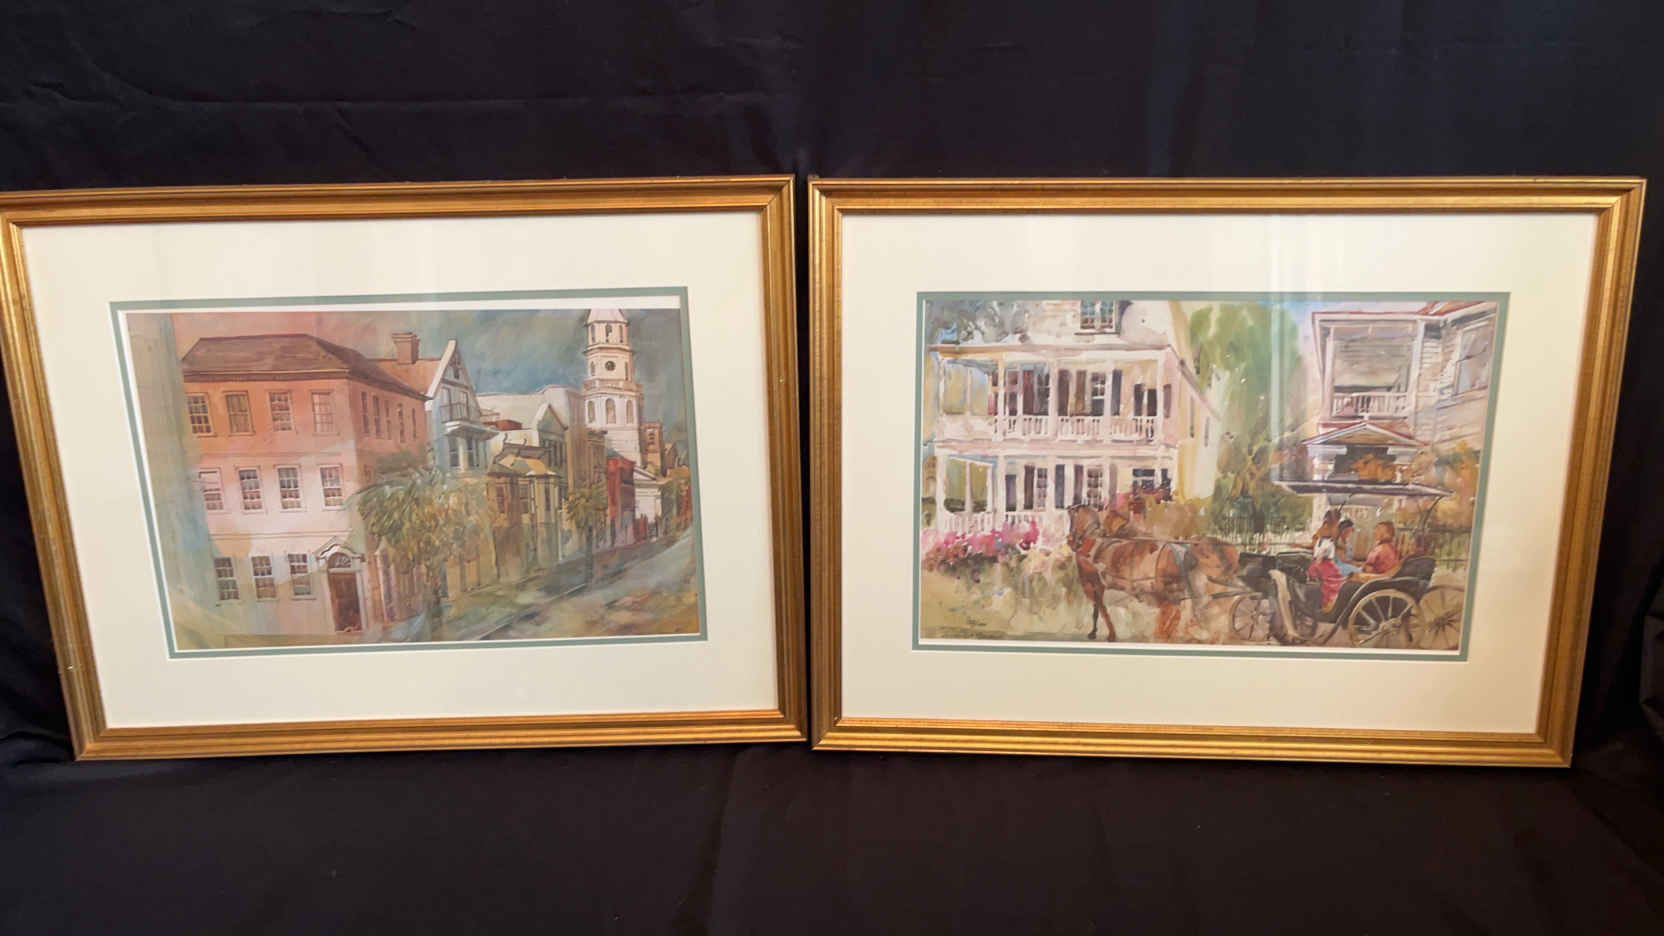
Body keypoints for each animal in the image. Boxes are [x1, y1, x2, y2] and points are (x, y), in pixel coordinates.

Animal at [1066, 503, 1240, 642]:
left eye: (1071, 519)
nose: (1070, 540)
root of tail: (1185, 551)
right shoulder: (1096, 585)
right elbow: (1098, 609)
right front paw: (1096, 632)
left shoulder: (1091, 584)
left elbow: (1100, 609)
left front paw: (1108, 634)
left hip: (1170, 595)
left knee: (1174, 617)